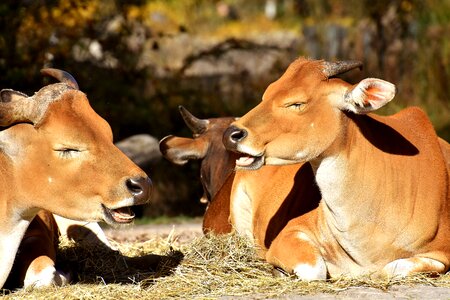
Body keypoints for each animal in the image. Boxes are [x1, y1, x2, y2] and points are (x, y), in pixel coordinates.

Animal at [224, 57, 450, 280]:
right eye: (266, 94)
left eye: (297, 103)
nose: (231, 134)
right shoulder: (290, 234)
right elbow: (315, 270)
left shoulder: (441, 255)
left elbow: (391, 269)